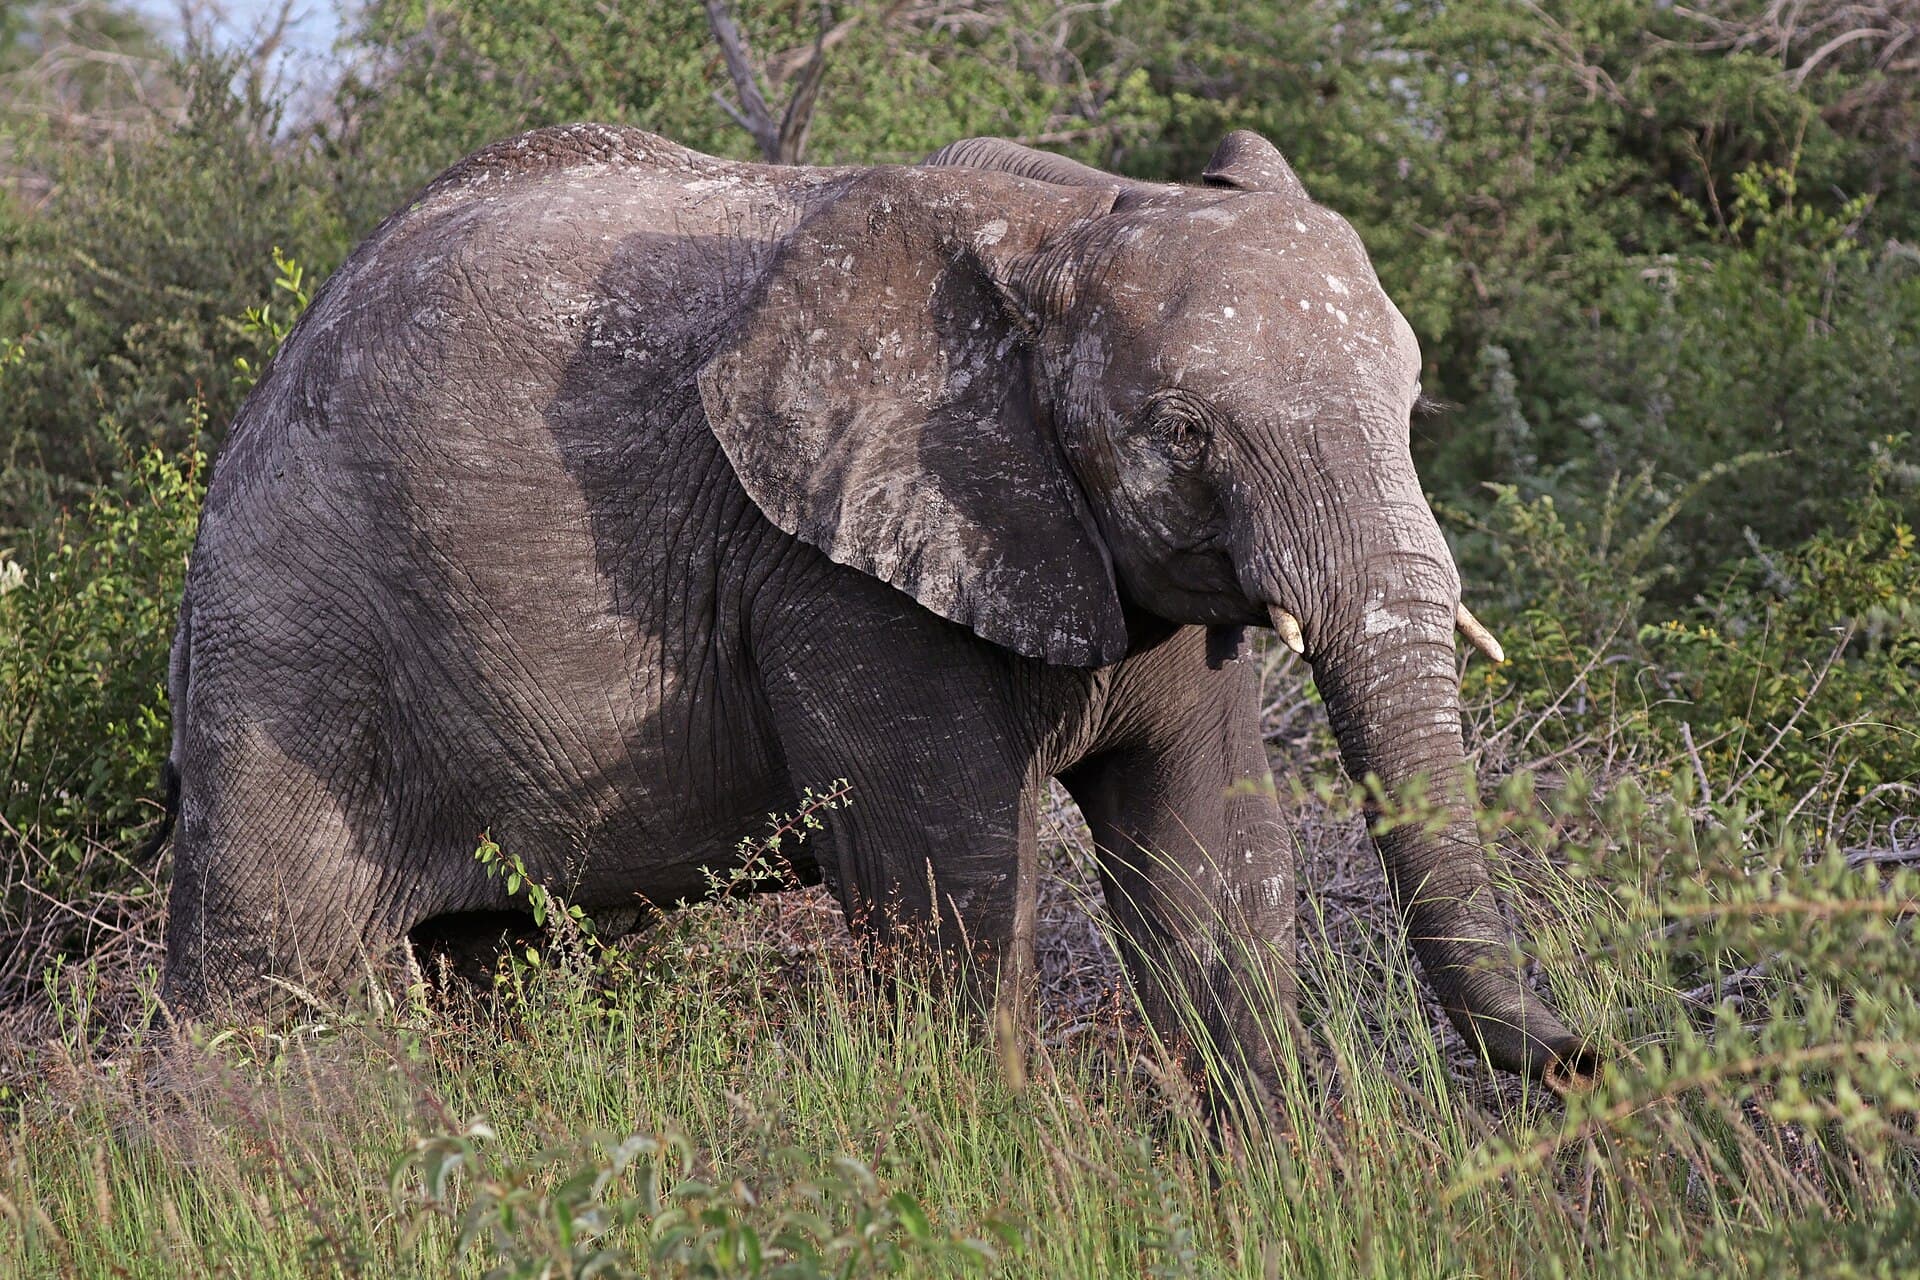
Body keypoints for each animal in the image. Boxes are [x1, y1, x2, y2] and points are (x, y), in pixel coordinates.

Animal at [149, 121, 1591, 1092]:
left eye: (1411, 397)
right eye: (1183, 432)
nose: (1586, 1053)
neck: (1060, 218)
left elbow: (1216, 872)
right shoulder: (828, 579)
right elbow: (954, 897)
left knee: (494, 968)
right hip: (290, 637)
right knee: (272, 988)